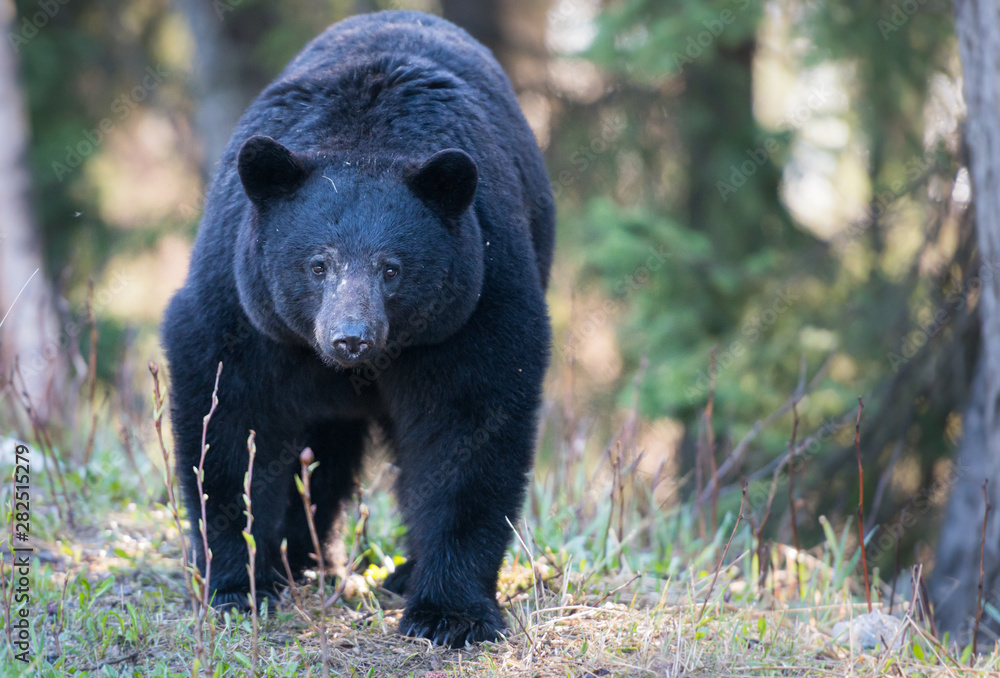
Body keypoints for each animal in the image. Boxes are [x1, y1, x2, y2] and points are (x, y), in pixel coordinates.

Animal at [161, 10, 554, 648]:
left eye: (391, 268)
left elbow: (469, 430)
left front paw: (449, 613)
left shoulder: (474, 305)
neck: (363, 141)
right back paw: (303, 560)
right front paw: (240, 583)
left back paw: (393, 572)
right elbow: (229, 420)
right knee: (322, 452)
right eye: (318, 265)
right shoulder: (244, 307)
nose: (350, 337)